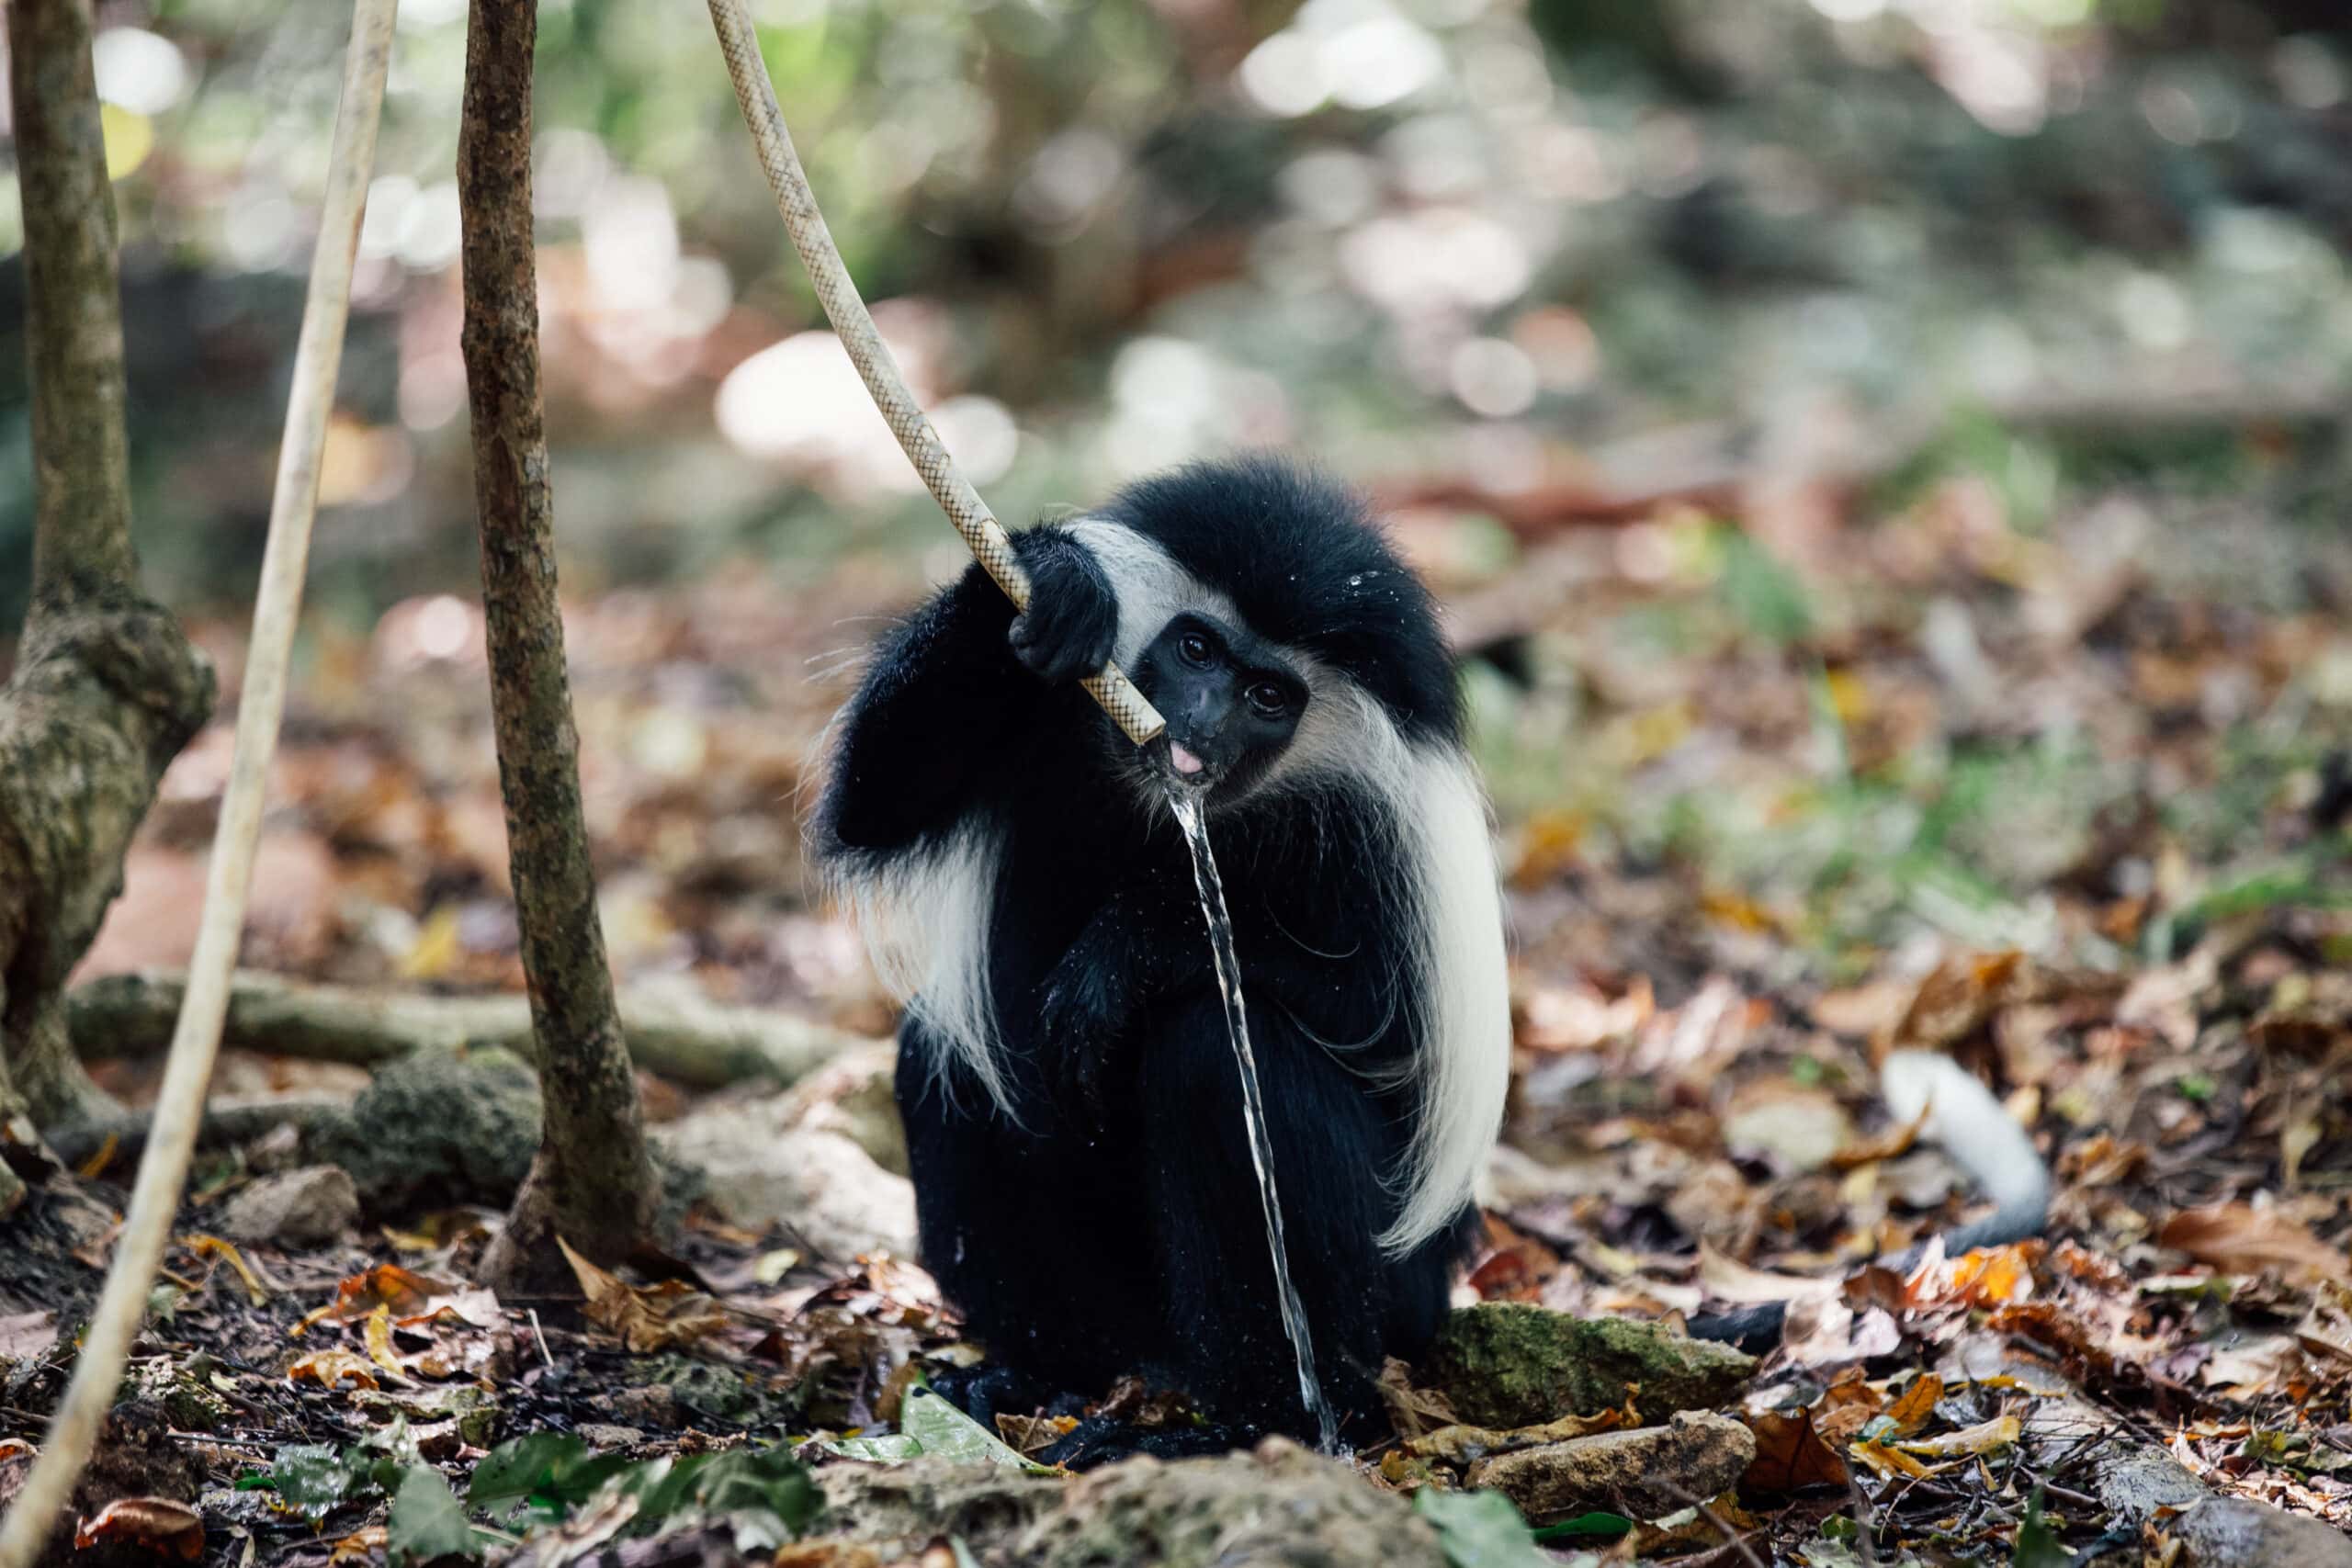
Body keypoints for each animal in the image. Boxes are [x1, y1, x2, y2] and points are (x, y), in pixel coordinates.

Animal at [813, 453, 1505, 1448]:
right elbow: (877, 803)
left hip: (1395, 1293)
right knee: (953, 1065)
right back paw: (1037, 1377)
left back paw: (1251, 1425)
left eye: (1268, 697)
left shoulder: (1384, 822)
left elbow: (1389, 1021)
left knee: (1215, 1050)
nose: (1199, 721)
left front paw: (1122, 955)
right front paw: (1052, 579)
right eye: (1198, 651)